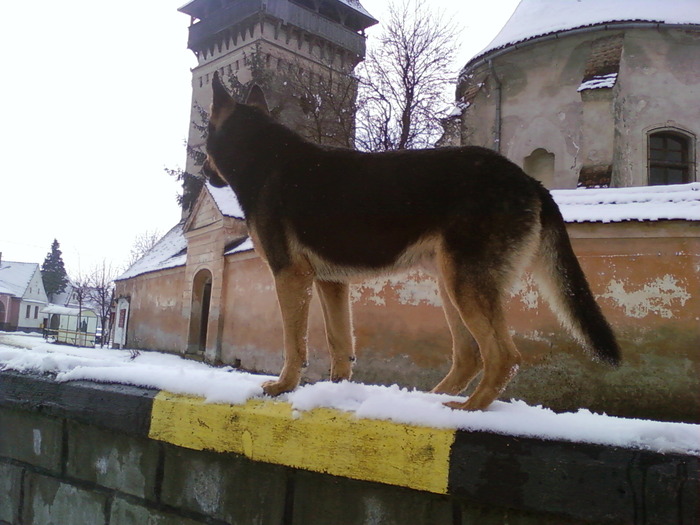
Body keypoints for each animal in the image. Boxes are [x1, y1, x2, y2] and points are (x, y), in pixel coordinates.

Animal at [202, 72, 616, 410]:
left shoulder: (290, 276)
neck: (261, 154)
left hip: (464, 284)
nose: (204, 172)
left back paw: (468, 408)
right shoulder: (331, 283)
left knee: (503, 357)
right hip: (451, 284)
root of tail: (530, 181)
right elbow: (340, 345)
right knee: (470, 356)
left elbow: (294, 343)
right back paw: (432, 400)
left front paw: (284, 385)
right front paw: (335, 391)